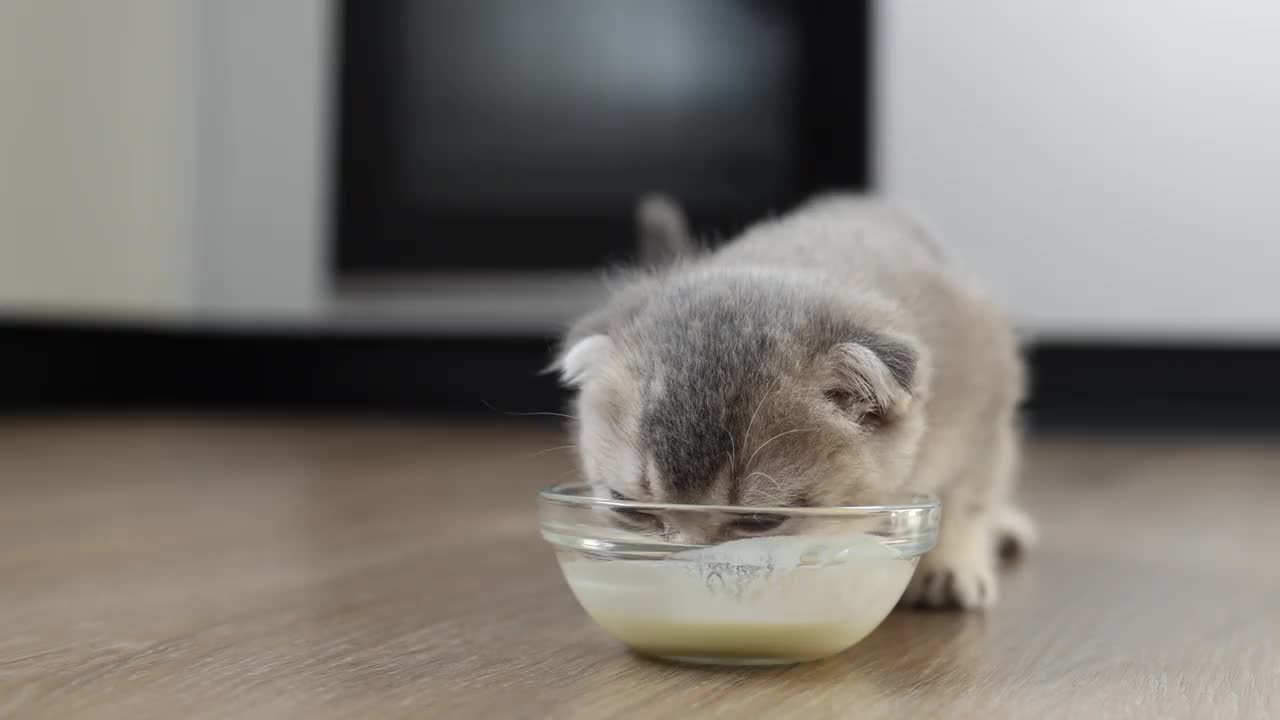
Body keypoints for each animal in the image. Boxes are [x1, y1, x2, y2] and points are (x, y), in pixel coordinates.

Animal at [555, 193, 1034, 607]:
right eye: (628, 507)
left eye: (760, 522)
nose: (682, 574)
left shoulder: (988, 398)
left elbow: (968, 498)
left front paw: (952, 566)